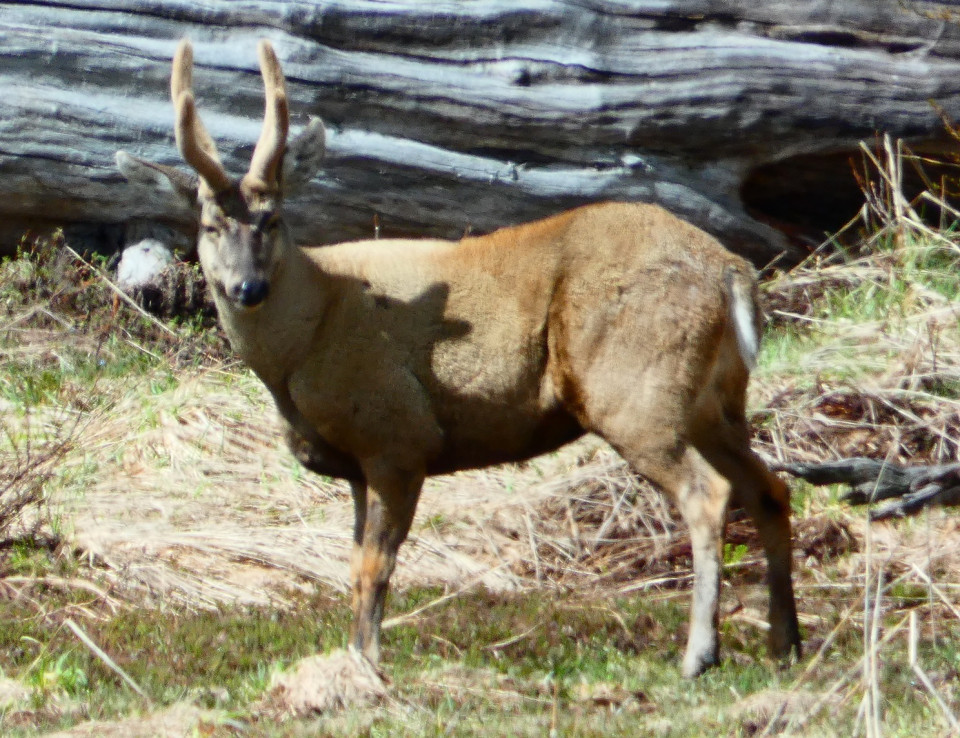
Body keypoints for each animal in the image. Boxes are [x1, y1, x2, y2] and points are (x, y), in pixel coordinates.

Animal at [116, 37, 800, 676]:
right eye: (210, 226)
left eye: (273, 220)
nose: (247, 288)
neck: (306, 338)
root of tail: (730, 271)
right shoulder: (360, 463)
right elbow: (354, 564)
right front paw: (355, 659)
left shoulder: (397, 435)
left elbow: (375, 565)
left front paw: (369, 664)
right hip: (714, 401)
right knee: (770, 488)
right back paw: (784, 643)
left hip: (635, 388)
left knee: (708, 494)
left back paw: (700, 654)